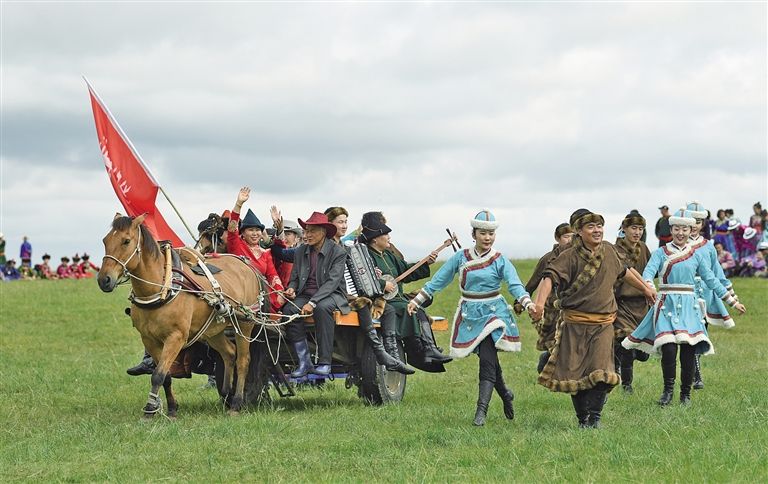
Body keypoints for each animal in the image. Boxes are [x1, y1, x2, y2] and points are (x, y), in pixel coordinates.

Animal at [97, 213, 262, 417]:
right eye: (105, 240)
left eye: (126, 241)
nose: (104, 280)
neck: (163, 288)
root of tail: (245, 264)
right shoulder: (149, 339)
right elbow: (165, 375)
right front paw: (172, 408)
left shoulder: (175, 337)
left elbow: (158, 374)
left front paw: (150, 410)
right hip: (212, 330)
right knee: (229, 353)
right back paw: (226, 396)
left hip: (244, 324)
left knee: (242, 360)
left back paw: (237, 402)